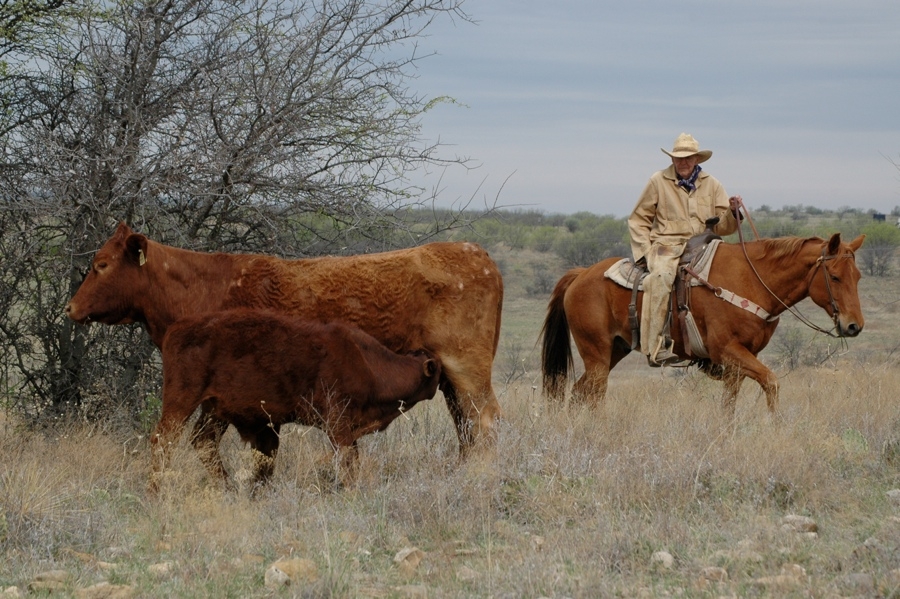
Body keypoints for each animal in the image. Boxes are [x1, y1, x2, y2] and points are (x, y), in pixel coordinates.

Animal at [540, 232, 864, 420]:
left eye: (858, 276)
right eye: (834, 276)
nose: (853, 326)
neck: (752, 280)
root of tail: (581, 274)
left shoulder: (739, 362)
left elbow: (729, 405)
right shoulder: (728, 350)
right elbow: (771, 382)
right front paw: (775, 426)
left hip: (613, 353)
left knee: (579, 394)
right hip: (596, 354)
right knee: (594, 396)